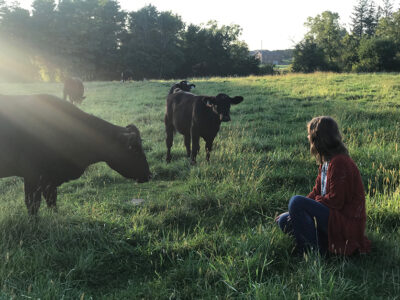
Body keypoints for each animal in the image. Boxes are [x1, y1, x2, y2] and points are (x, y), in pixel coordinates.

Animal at [0, 95, 150, 214]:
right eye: (134, 149)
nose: (150, 174)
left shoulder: (49, 179)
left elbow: (52, 201)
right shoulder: (32, 176)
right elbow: (33, 205)